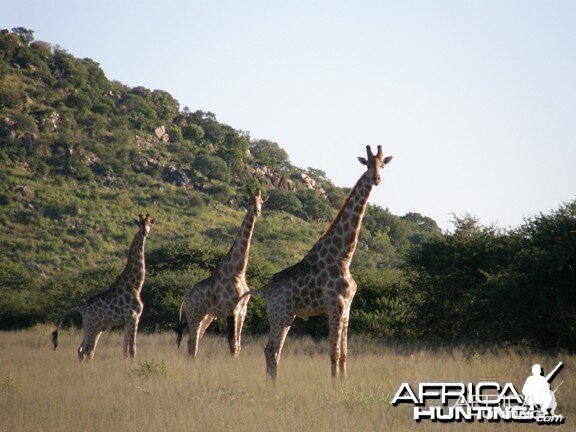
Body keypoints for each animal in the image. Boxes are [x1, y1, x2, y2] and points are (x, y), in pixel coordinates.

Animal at [51, 213, 154, 362]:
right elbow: (132, 350)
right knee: (85, 350)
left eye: (149, 224)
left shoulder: (127, 321)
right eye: (139, 224)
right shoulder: (133, 318)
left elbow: (124, 350)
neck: (135, 285)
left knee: (83, 350)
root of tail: (82, 308)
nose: (145, 232)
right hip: (93, 327)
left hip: (93, 327)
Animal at [177, 189, 266, 358]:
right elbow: (232, 344)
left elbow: (238, 345)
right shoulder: (231, 310)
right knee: (192, 343)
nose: (257, 211)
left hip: (207, 317)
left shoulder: (242, 311)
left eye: (261, 202)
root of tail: (185, 298)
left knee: (193, 341)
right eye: (249, 201)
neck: (238, 271)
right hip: (194, 315)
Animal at [237, 145, 392, 378]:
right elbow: (334, 353)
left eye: (382, 164)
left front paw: (344, 383)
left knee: (270, 351)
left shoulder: (347, 307)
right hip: (281, 314)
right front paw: (335, 385)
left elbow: (344, 354)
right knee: (272, 351)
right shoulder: (335, 305)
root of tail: (264, 289)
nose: (377, 179)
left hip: (284, 315)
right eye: (368, 165)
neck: (344, 256)